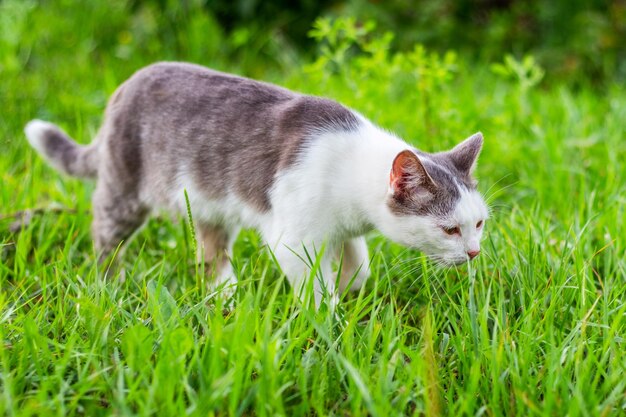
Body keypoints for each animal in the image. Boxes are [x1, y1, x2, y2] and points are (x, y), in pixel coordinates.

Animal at [24, 61, 488, 306]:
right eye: (450, 229)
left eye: (480, 223)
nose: (474, 253)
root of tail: (126, 85)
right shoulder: (293, 237)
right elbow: (314, 285)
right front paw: (331, 316)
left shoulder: (341, 229)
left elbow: (359, 264)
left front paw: (348, 289)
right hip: (124, 190)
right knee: (105, 234)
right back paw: (110, 284)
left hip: (208, 204)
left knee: (211, 253)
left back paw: (228, 296)